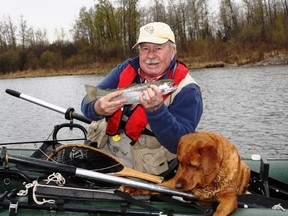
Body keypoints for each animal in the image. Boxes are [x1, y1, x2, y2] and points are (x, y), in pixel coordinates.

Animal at [120, 132, 251, 216]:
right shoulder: (173, 182)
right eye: (180, 163)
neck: (210, 183)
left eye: (193, 166)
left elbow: (219, 213)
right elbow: (152, 187)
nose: (178, 187)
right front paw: (130, 188)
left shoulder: (229, 200)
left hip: (246, 169)